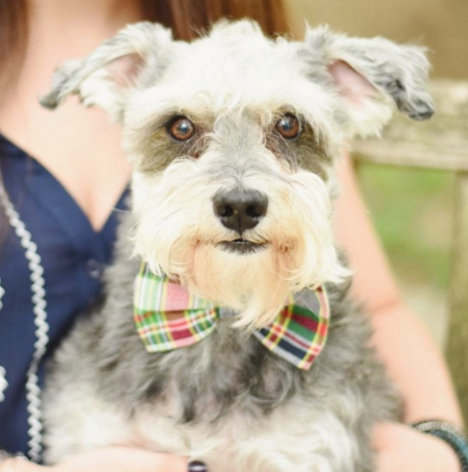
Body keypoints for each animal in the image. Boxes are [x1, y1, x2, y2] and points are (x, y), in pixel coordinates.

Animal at [38, 20, 434, 472]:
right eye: (180, 126)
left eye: (289, 124)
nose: (241, 206)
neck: (224, 311)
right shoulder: (92, 437)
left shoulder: (307, 449)